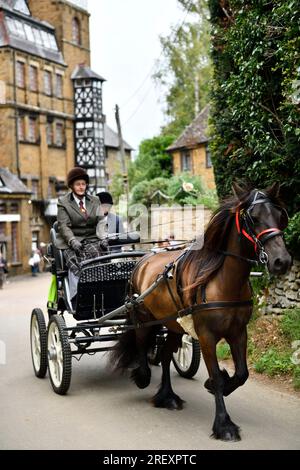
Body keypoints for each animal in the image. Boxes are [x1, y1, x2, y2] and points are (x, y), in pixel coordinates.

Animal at [110, 184, 290, 440]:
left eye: (279, 216)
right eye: (252, 218)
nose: (281, 261)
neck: (223, 281)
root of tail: (144, 259)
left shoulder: (238, 332)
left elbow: (242, 374)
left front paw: (217, 385)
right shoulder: (206, 336)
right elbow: (216, 375)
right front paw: (224, 424)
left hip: (174, 325)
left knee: (166, 355)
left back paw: (167, 396)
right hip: (145, 318)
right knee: (142, 342)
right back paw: (143, 376)